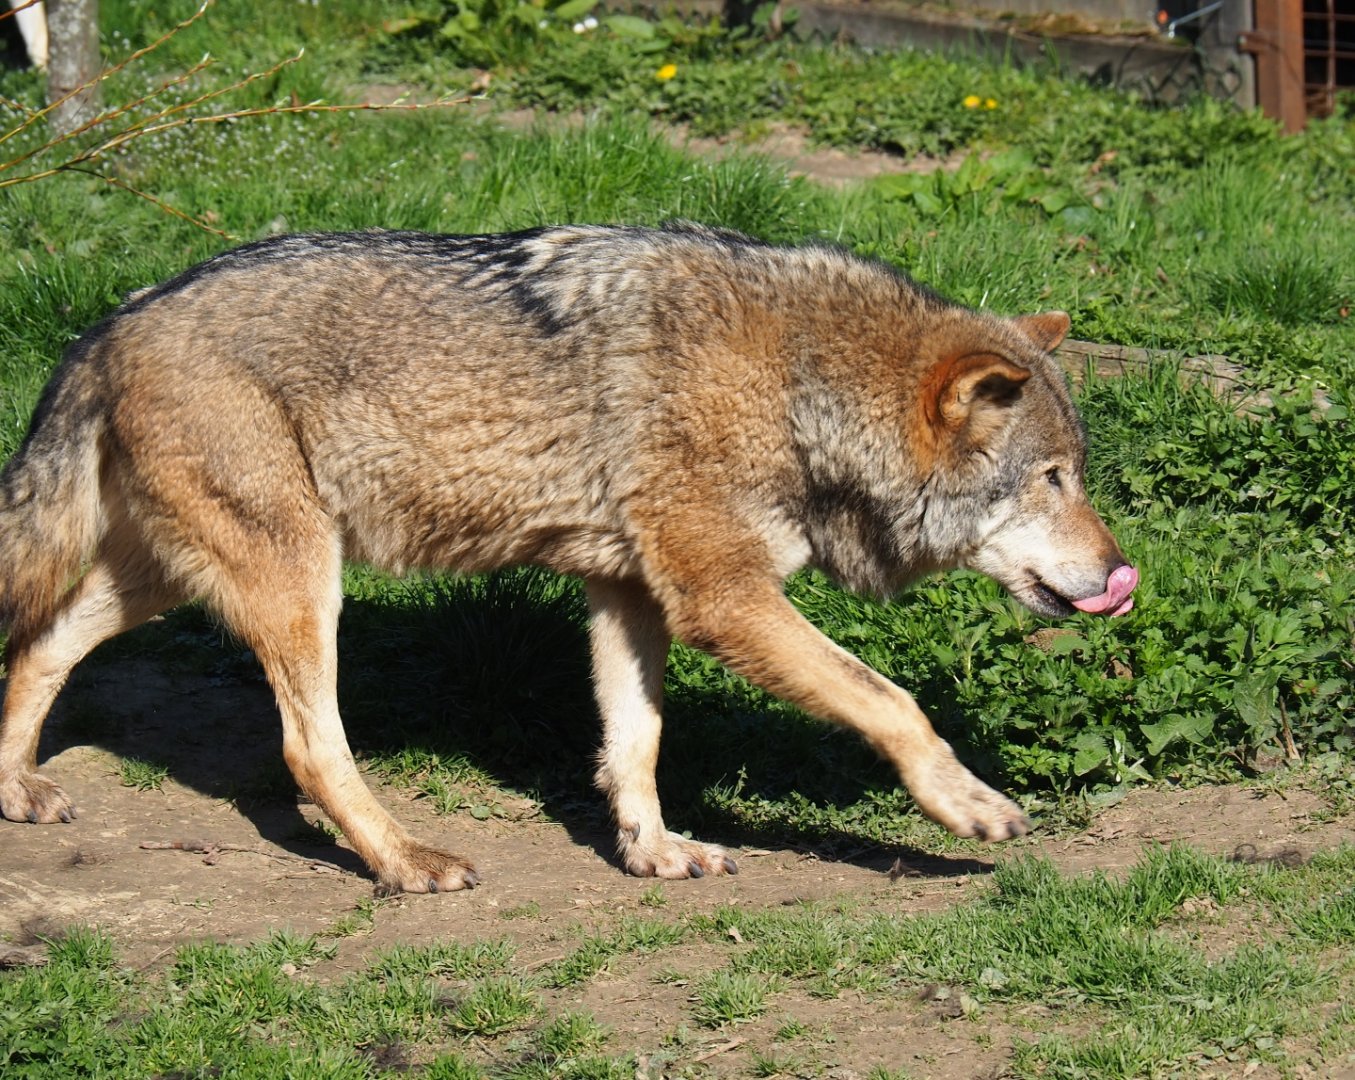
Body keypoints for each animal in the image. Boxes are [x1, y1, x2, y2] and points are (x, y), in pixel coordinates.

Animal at [0, 223, 1136, 893]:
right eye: (1051, 481)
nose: (1121, 580)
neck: (800, 382)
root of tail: (104, 326)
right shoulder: (722, 597)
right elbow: (893, 702)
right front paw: (967, 803)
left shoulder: (631, 595)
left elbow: (634, 743)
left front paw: (652, 851)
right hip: (299, 583)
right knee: (308, 749)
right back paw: (406, 862)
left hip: (172, 578)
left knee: (39, 646)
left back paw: (16, 789)